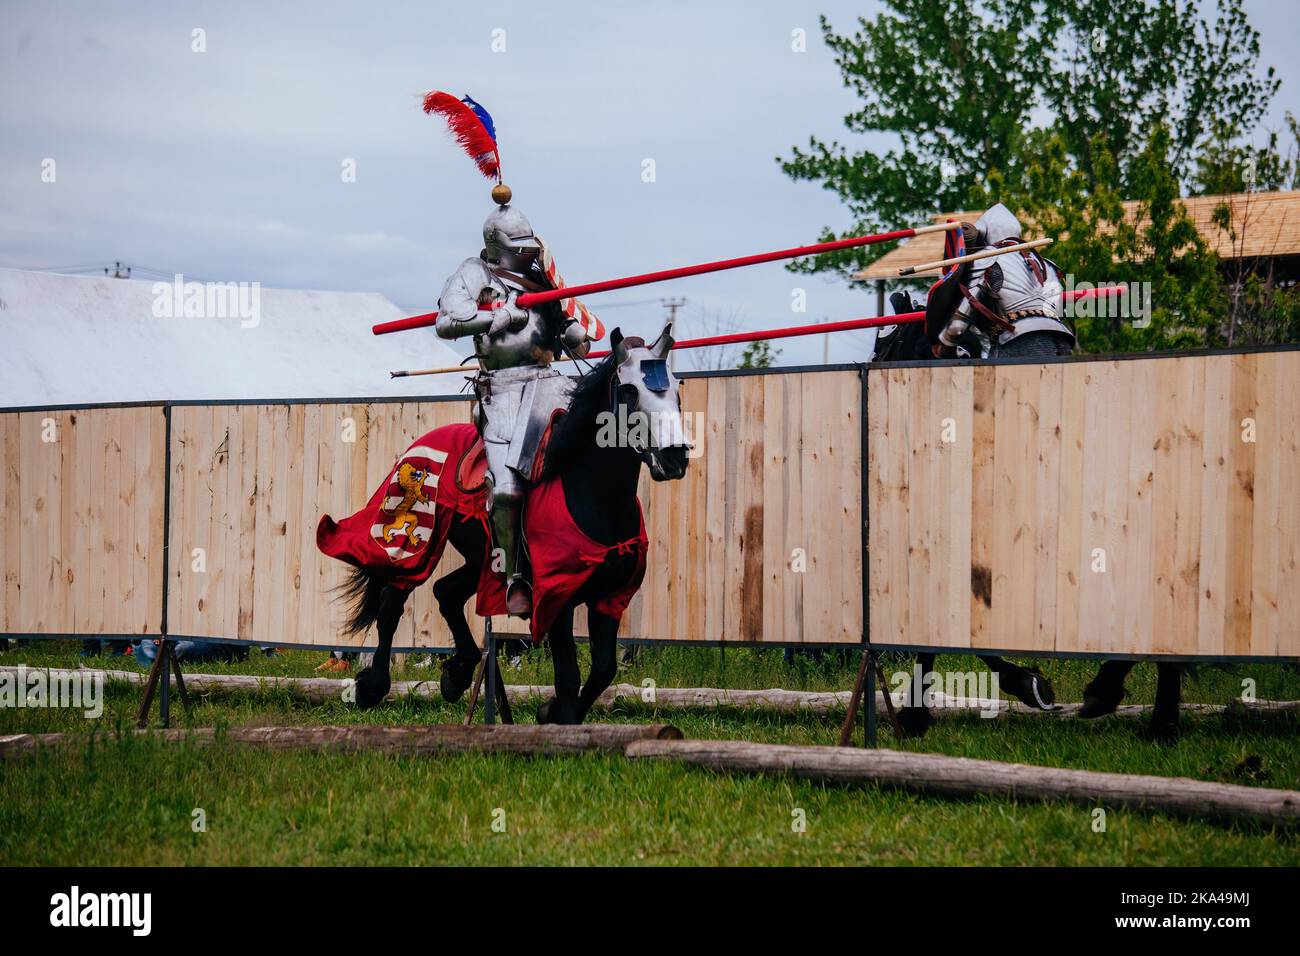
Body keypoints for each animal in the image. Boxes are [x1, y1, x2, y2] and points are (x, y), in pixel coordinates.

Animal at [332, 325, 691, 723]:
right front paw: (560, 717)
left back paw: (458, 673)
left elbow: (603, 670)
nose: (675, 459)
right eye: (629, 390)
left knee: (446, 592)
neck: (595, 497)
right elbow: (569, 677)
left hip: (483, 558)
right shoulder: (557, 600)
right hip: (421, 540)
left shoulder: (610, 597)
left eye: (676, 388)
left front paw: (549, 711)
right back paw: (372, 686)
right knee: (393, 601)